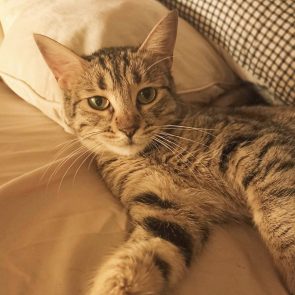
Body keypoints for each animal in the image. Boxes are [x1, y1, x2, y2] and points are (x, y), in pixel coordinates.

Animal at [35, 11, 295, 295]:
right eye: (98, 102)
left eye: (147, 95)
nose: (128, 128)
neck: (155, 153)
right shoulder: (167, 210)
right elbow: (138, 259)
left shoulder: (260, 147)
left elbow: (281, 218)